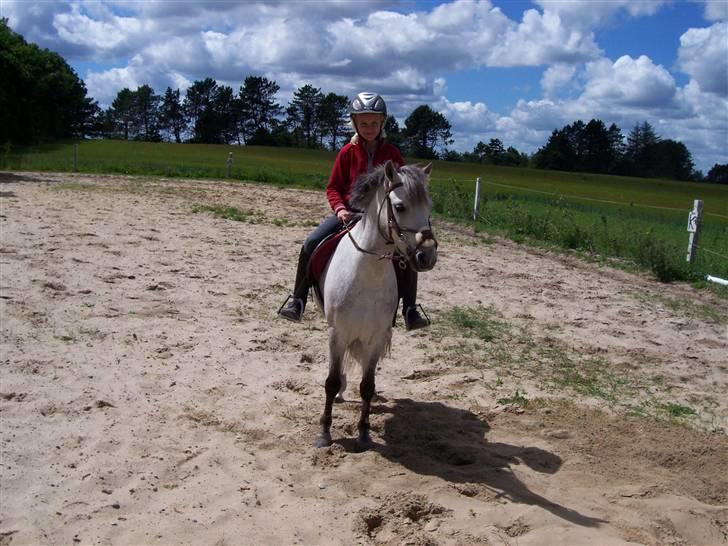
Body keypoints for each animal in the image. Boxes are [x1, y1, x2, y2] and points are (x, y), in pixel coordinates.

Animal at [314, 159, 438, 448]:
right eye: (400, 206)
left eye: (429, 207)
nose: (427, 256)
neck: (366, 274)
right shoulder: (337, 333)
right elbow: (331, 381)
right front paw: (325, 432)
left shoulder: (375, 336)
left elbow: (367, 386)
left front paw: (364, 432)